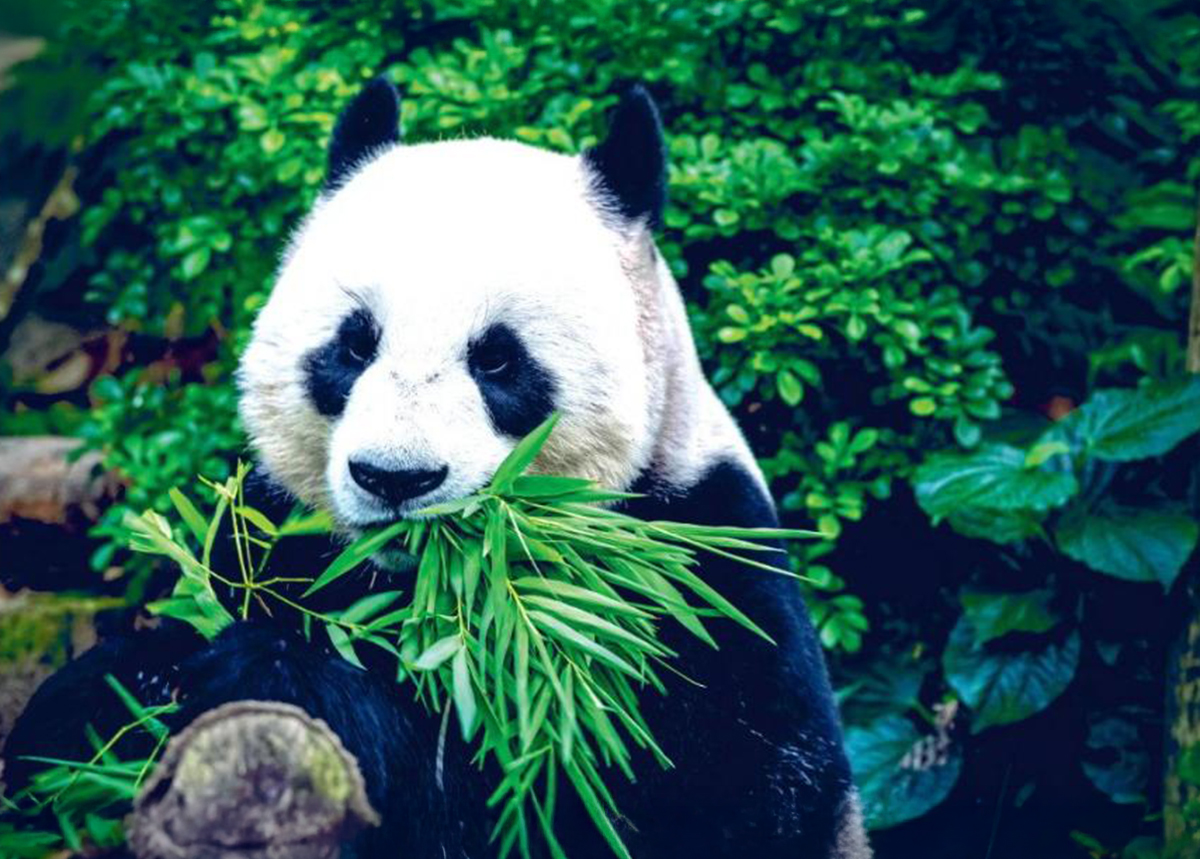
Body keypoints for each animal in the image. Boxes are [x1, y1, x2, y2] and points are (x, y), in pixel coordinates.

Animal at [3, 79, 870, 859]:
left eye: (498, 359)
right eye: (355, 343)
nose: (395, 477)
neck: (429, 586)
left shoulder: (693, 576)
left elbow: (657, 805)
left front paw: (280, 676)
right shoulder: (275, 532)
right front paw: (113, 701)